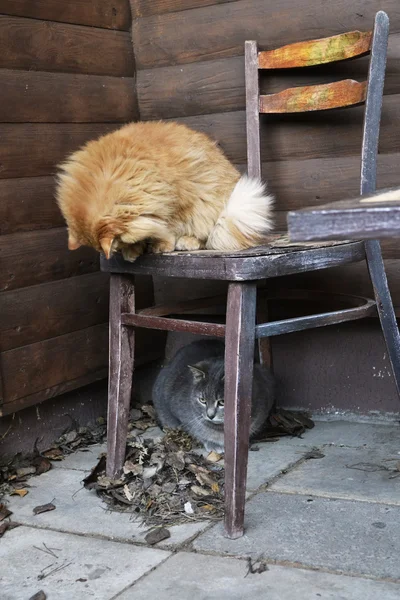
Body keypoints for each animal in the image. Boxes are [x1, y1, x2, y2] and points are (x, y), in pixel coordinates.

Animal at [56, 122, 274, 260]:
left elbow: (167, 228)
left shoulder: (172, 199)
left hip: (211, 206)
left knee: (205, 236)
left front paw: (161, 246)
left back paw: (187, 242)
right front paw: (134, 250)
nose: (111, 254)